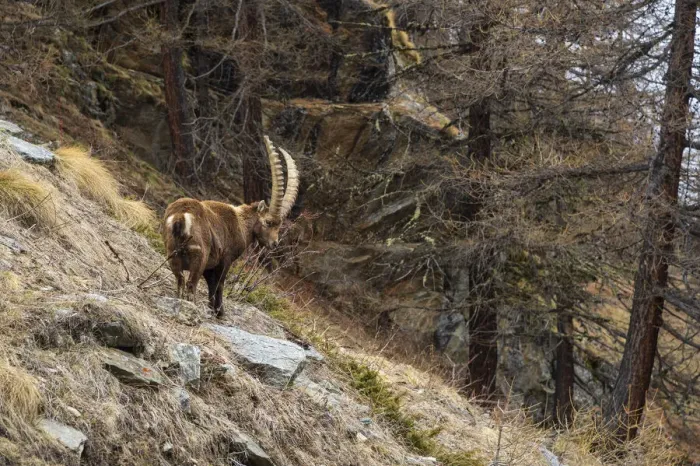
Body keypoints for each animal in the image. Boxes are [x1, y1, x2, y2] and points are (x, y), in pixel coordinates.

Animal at [162, 136, 299, 315]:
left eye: (280, 225)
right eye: (268, 222)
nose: (274, 244)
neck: (242, 222)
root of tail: (181, 216)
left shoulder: (212, 264)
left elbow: (212, 285)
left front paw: (214, 309)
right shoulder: (226, 258)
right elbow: (219, 284)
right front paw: (219, 312)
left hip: (173, 254)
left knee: (180, 280)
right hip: (199, 257)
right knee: (191, 284)